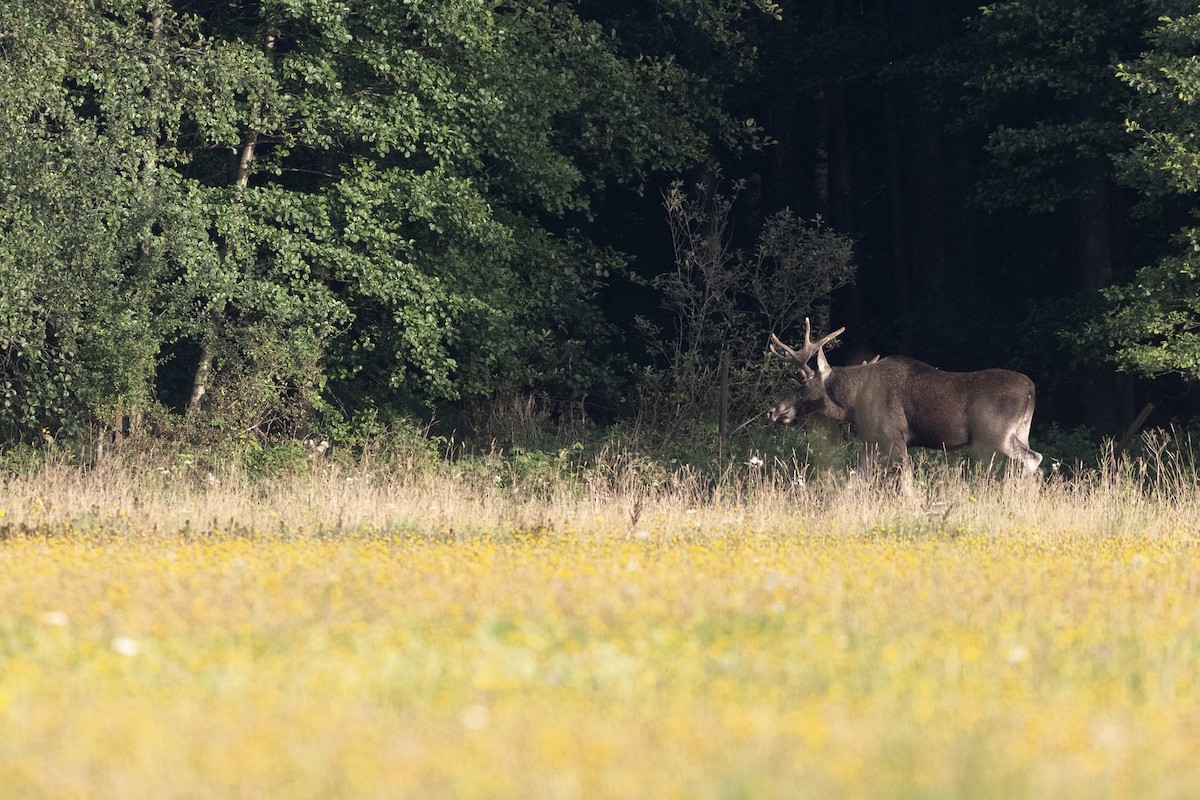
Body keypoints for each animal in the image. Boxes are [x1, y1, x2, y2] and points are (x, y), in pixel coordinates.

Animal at [767, 319, 1042, 492]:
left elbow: (906, 484)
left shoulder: (894, 437)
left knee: (1033, 459)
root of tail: (1031, 389)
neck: (852, 403)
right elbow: (854, 480)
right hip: (1021, 431)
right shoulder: (871, 442)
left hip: (997, 433)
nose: (773, 411)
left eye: (803, 384)